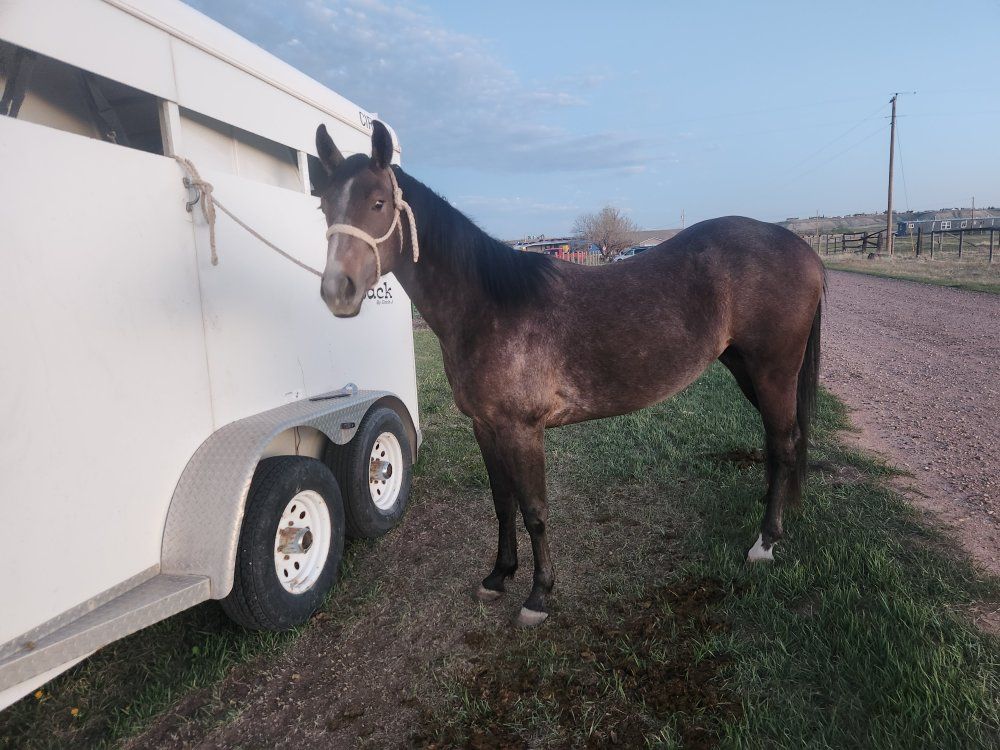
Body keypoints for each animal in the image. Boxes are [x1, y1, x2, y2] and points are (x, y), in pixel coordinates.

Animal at [313, 121, 824, 627]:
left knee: (783, 444)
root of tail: (802, 250)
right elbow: (502, 503)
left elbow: (534, 510)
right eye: (324, 205)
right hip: (745, 368)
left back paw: (765, 543)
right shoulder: (485, 426)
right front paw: (498, 576)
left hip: (774, 371)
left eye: (378, 203)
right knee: (781, 442)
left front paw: (539, 595)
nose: (338, 291)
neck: (489, 307)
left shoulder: (522, 430)